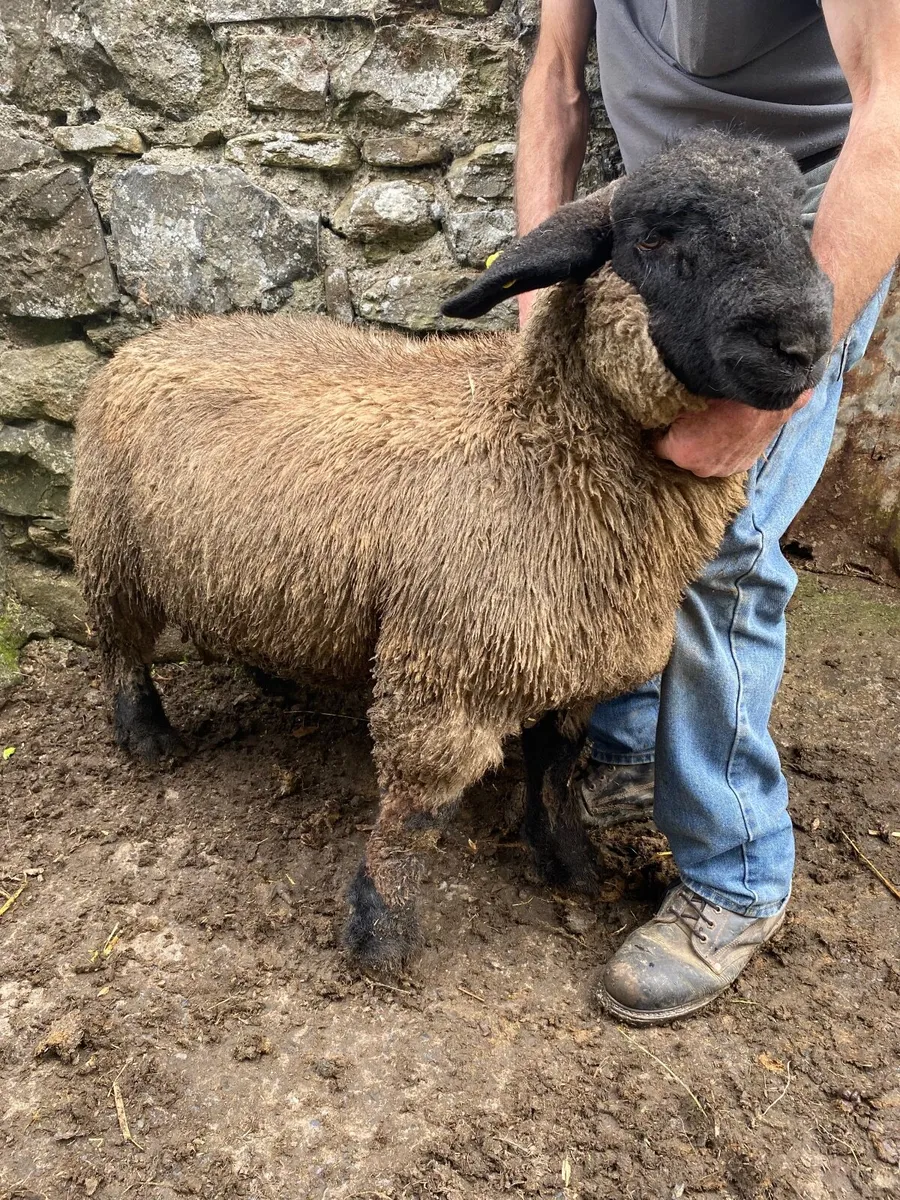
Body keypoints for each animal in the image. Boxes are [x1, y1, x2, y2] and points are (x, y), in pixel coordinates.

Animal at [70, 131, 833, 976]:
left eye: (798, 218)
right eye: (654, 239)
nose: (801, 345)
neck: (535, 442)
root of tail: (149, 338)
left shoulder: (569, 665)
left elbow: (556, 768)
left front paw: (567, 865)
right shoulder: (446, 675)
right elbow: (419, 814)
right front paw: (380, 932)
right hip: (111, 553)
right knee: (121, 653)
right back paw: (147, 740)